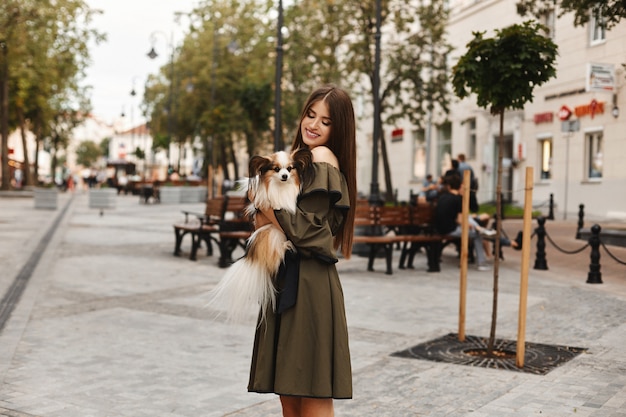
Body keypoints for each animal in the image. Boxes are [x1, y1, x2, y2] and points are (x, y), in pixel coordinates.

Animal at [208, 148, 310, 324]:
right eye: (276, 169)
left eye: (289, 169)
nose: (285, 176)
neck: (280, 187)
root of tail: (252, 254)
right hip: (271, 233)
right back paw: (287, 245)